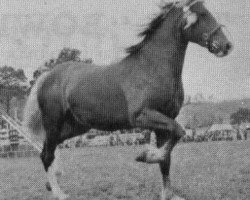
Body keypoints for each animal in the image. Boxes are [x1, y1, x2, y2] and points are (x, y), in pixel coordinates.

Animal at [23, 0, 232, 199]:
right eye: (203, 14)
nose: (227, 45)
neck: (152, 67)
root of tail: (47, 75)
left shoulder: (164, 123)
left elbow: (167, 158)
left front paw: (168, 193)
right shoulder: (142, 116)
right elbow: (179, 132)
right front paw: (145, 156)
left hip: (75, 127)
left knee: (48, 150)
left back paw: (52, 182)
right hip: (54, 123)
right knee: (46, 154)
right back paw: (58, 192)